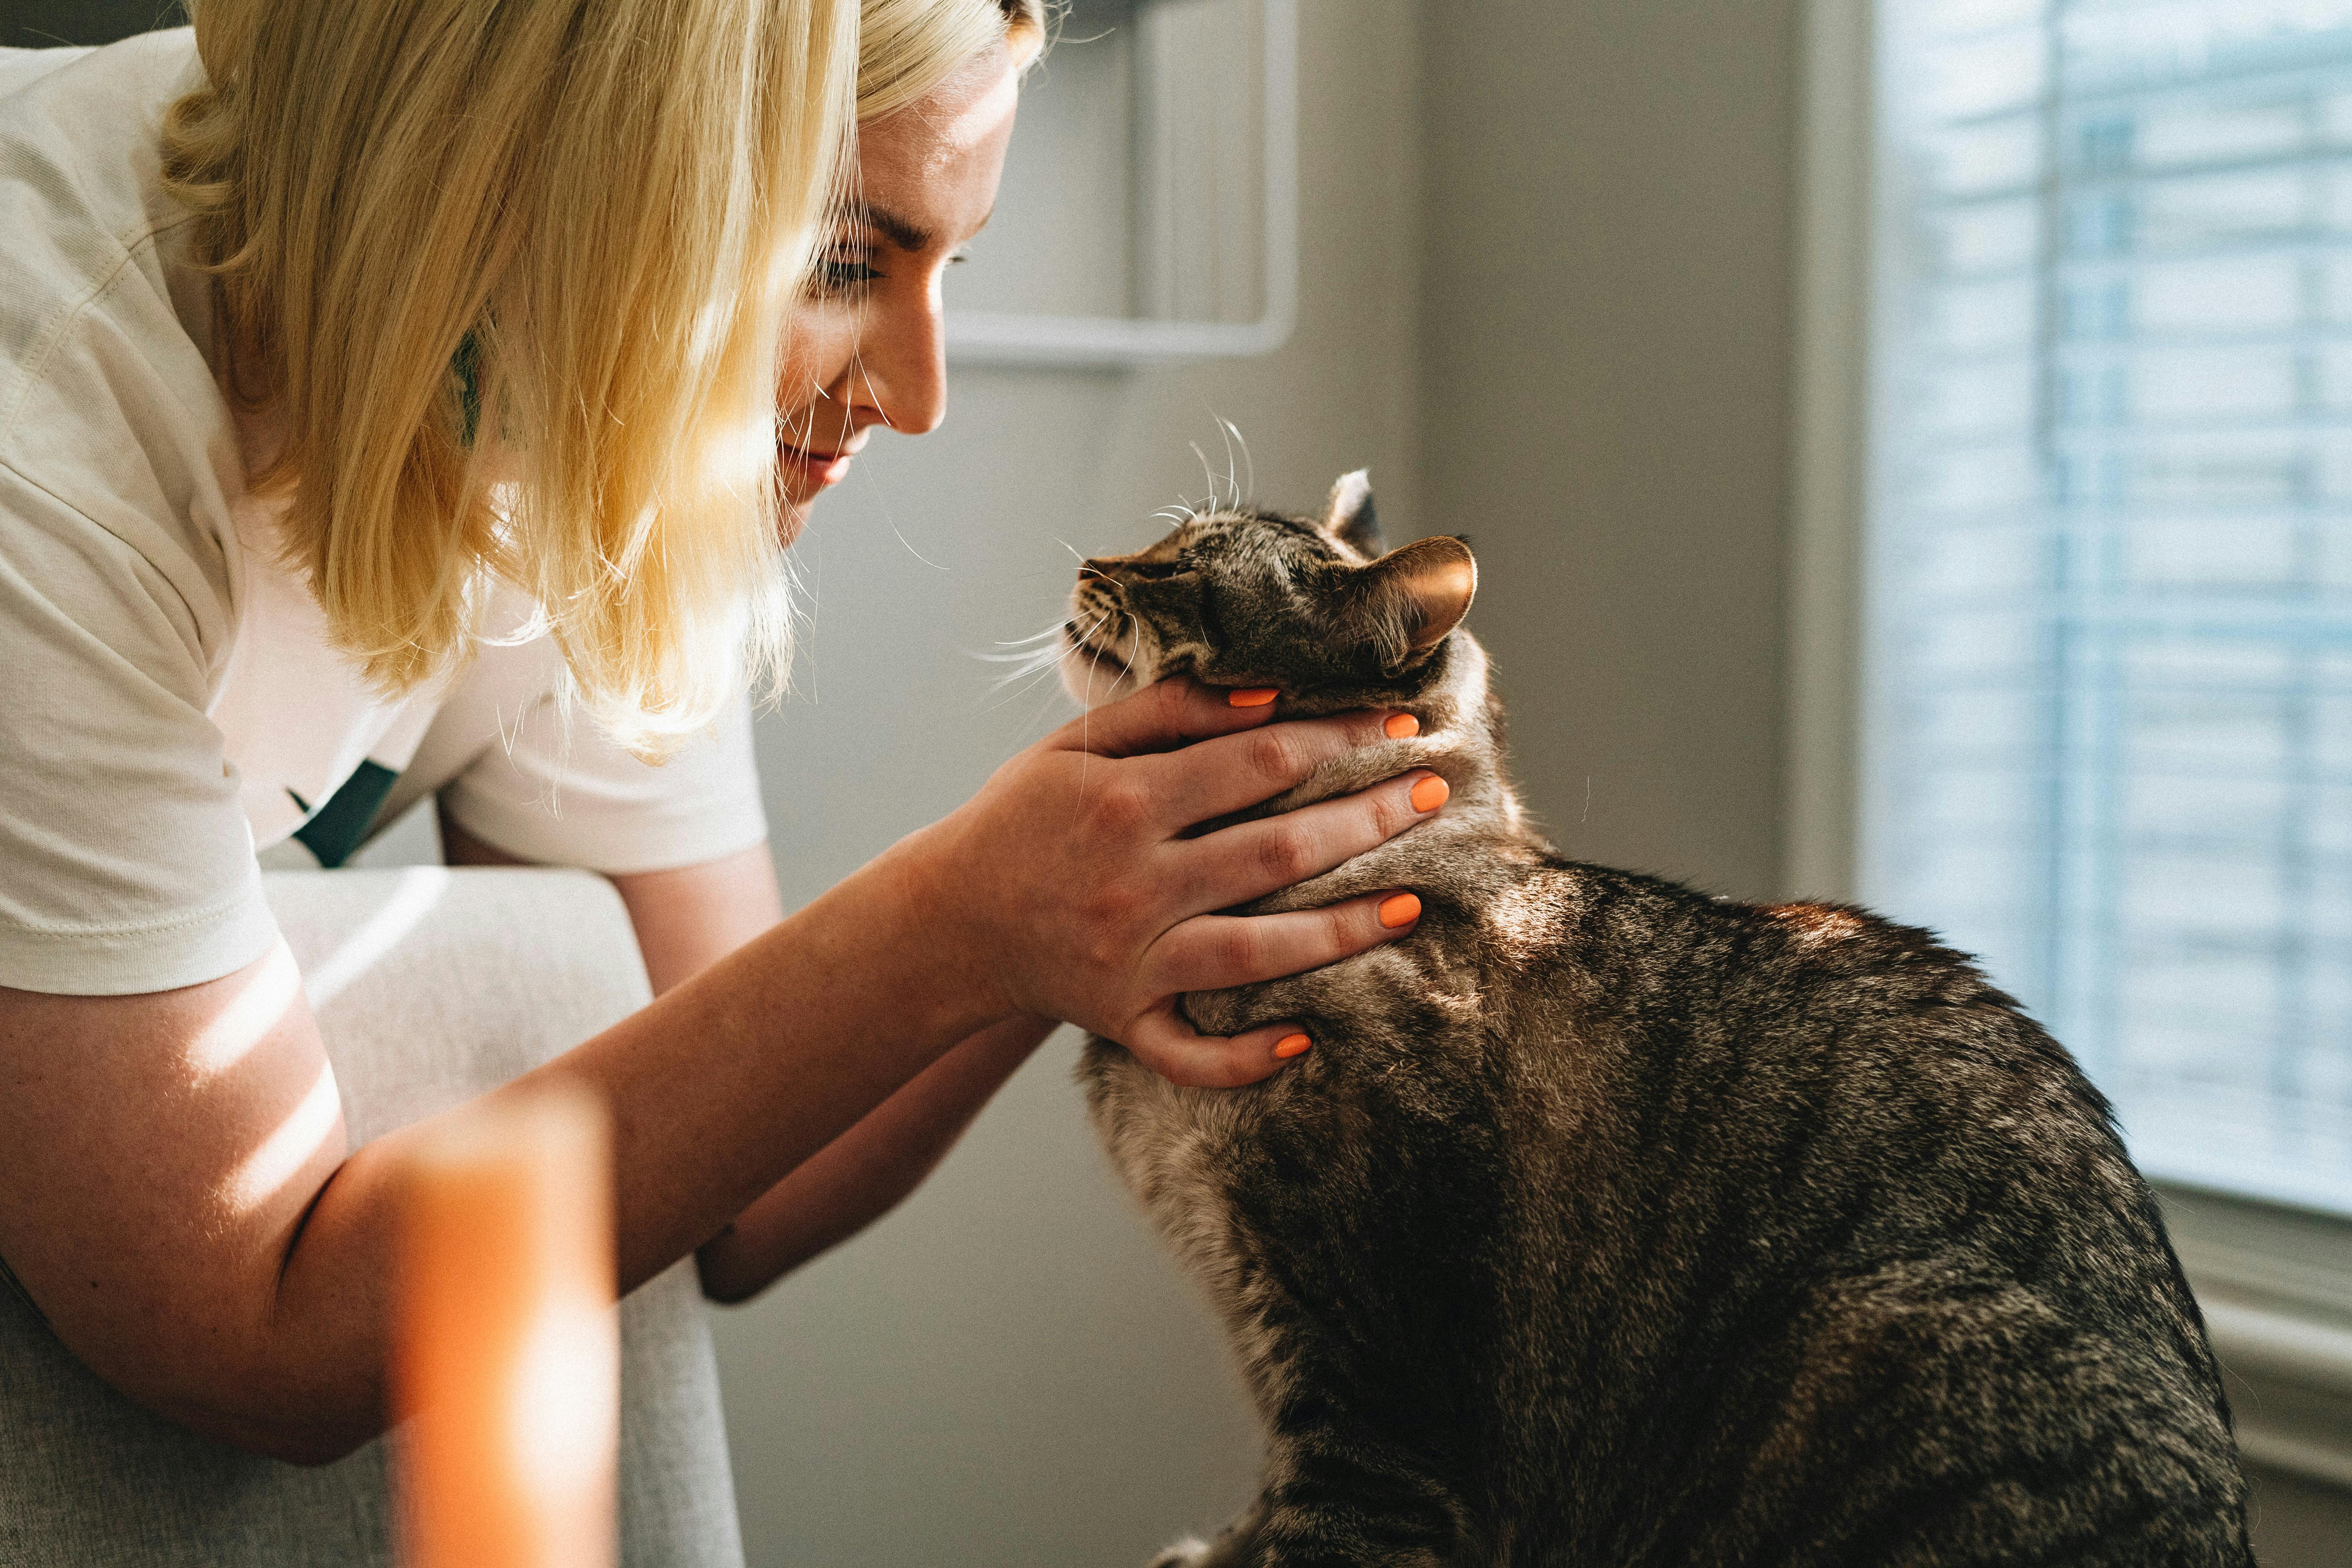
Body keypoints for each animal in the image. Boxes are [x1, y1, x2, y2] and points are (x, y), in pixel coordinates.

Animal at [1058, 475, 2248, 1568]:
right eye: (1164, 542)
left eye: (1180, 567)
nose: (1085, 563)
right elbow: (1263, 1517)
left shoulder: (1374, 1388)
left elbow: (1322, 1528)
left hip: (1873, 1347)